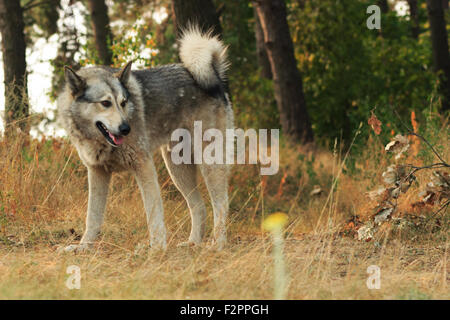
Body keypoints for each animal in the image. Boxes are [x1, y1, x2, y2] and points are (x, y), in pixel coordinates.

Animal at [58, 26, 234, 252]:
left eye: (124, 102)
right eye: (105, 103)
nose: (126, 128)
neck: (99, 142)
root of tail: (216, 76)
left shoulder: (143, 166)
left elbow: (153, 213)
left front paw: (157, 249)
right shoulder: (97, 172)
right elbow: (92, 218)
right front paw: (83, 248)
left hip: (208, 164)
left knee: (220, 204)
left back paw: (217, 245)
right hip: (177, 169)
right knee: (198, 206)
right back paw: (193, 243)